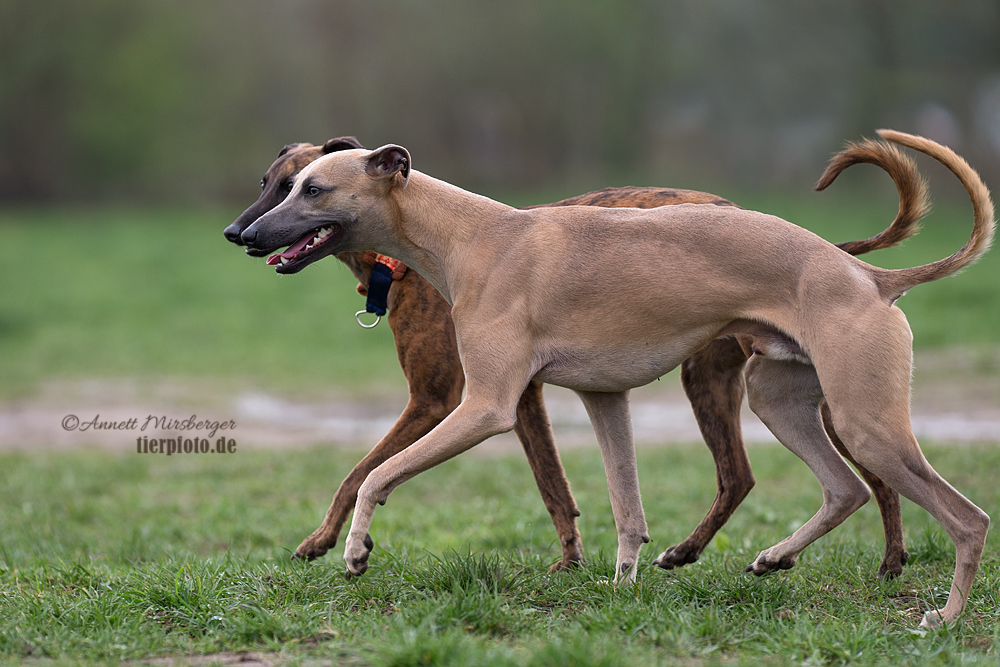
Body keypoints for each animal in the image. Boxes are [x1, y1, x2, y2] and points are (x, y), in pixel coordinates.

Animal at [236, 130, 992, 628]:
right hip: (780, 397)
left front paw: (354, 549)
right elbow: (626, 510)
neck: (472, 235)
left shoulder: (481, 405)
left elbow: (374, 473)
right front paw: (622, 588)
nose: (242, 237)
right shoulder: (605, 398)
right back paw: (773, 558)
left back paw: (946, 617)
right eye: (282, 182)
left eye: (312, 186)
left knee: (966, 517)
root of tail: (868, 275)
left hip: (863, 419)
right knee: (845, 489)